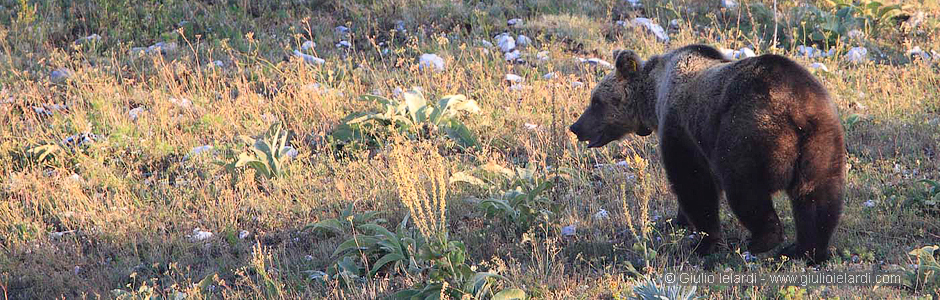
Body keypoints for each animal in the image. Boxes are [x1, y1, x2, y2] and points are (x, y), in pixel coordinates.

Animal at [568, 44, 848, 262]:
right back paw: (805, 250)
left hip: (746, 131)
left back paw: (763, 240)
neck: (654, 94)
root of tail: (796, 108)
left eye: (596, 101)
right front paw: (679, 220)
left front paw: (703, 241)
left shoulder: (681, 129)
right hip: (821, 140)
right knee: (816, 196)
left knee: (743, 187)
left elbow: (693, 182)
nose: (576, 127)